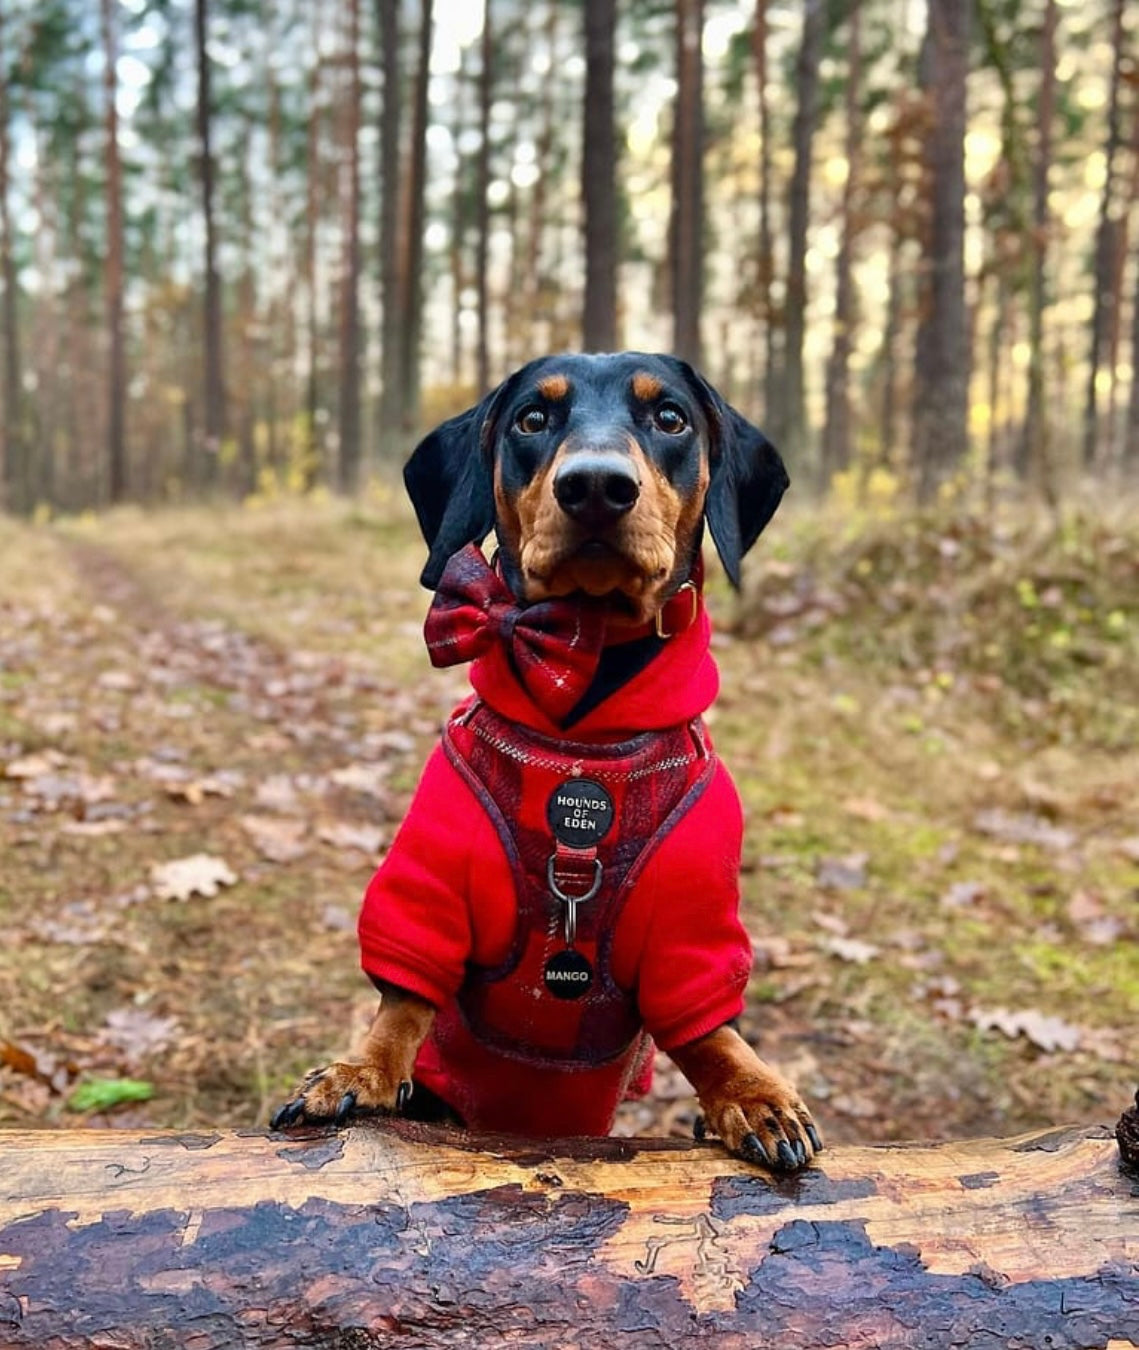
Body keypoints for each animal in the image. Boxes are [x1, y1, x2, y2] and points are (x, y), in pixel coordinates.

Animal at [275, 351, 820, 1171]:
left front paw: (751, 1094)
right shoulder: (429, 880)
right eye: (533, 418)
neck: (583, 722)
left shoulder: (693, 922)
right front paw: (361, 1070)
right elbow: (405, 996)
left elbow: (708, 1027)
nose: (594, 486)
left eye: (670, 419)